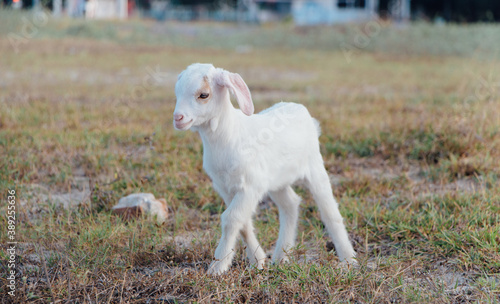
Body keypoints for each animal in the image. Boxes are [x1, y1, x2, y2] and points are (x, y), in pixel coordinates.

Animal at [174, 63, 358, 274]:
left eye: (203, 95)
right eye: (177, 92)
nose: (178, 118)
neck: (228, 135)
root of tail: (302, 110)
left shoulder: (250, 186)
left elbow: (231, 219)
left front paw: (217, 266)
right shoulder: (225, 187)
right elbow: (243, 223)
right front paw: (258, 261)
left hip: (315, 168)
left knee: (329, 212)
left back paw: (349, 260)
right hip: (278, 181)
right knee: (290, 204)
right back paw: (281, 257)